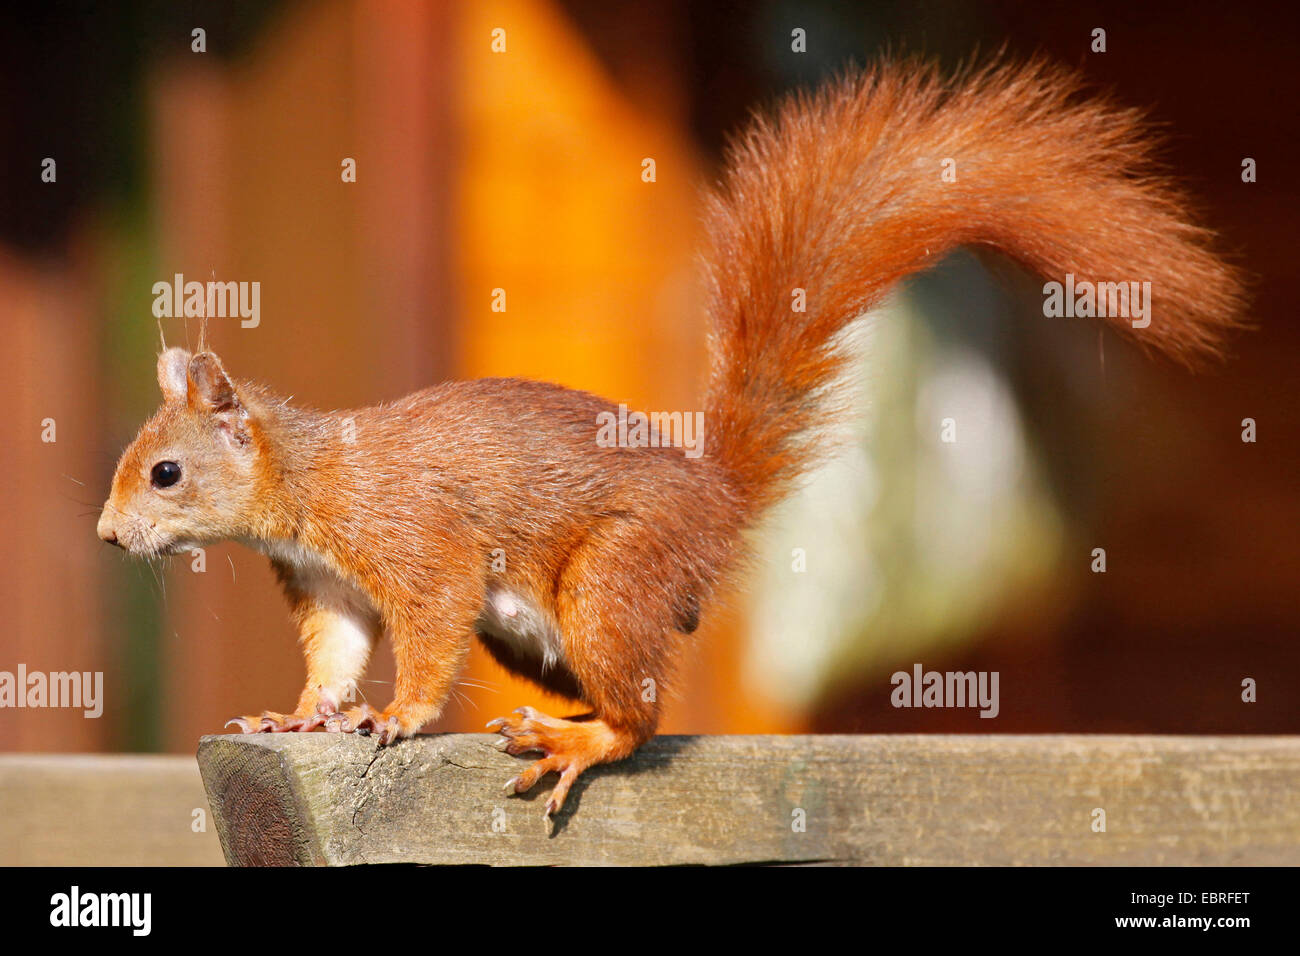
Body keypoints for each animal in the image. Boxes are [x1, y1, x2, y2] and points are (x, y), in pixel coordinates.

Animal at [98, 58, 1243, 816]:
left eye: (166, 472)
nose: (110, 540)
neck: (305, 478)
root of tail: (717, 499)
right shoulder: (326, 584)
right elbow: (335, 656)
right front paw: (304, 717)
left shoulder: (413, 541)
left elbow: (426, 627)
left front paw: (399, 716)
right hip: (545, 632)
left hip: (611, 579)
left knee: (641, 719)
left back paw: (579, 741)